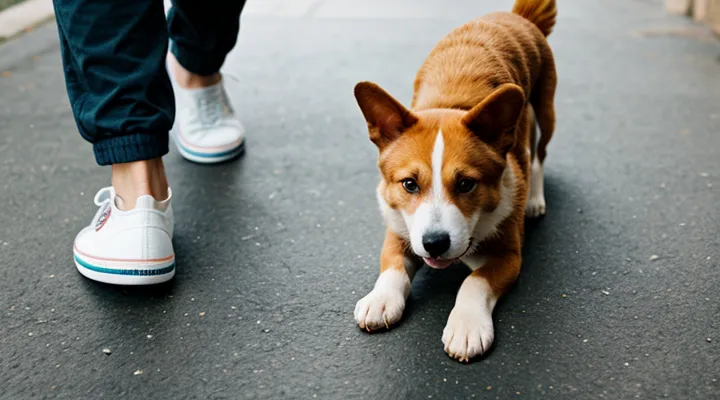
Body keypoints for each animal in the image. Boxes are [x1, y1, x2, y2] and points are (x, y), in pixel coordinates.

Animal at [352, 0, 556, 362]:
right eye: (409, 184)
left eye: (466, 184)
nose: (434, 243)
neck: (450, 104)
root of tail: (515, 16)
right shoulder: (398, 229)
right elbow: (392, 265)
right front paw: (381, 299)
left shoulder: (510, 256)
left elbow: (474, 280)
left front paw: (466, 326)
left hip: (547, 109)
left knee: (539, 153)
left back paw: (534, 198)